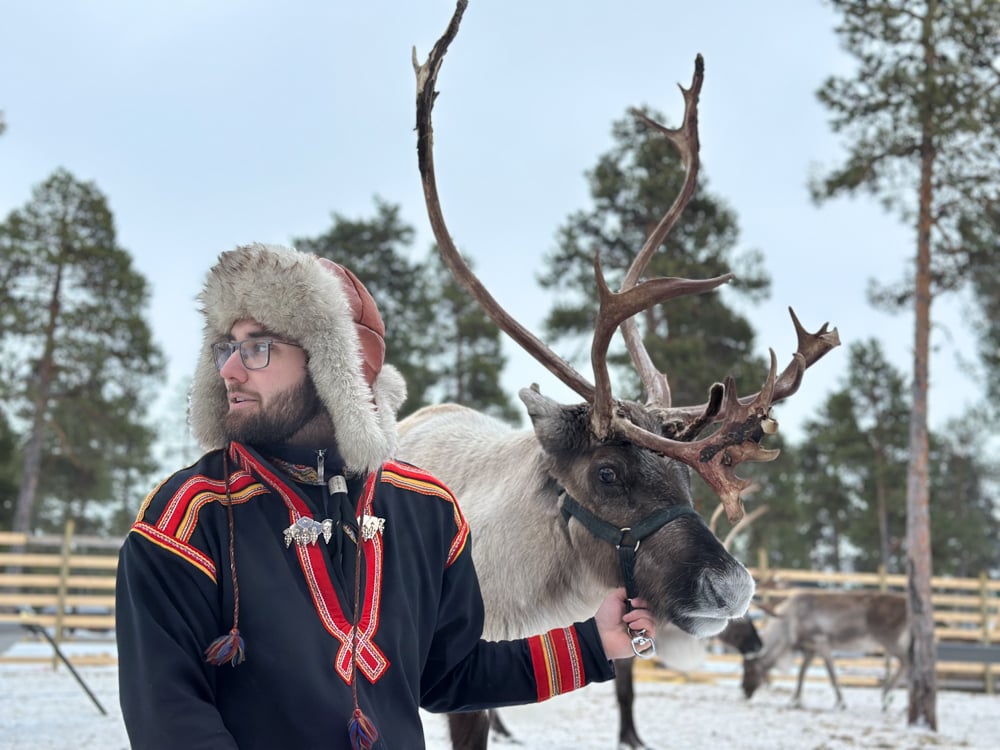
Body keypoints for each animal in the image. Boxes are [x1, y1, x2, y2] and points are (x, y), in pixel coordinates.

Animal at [739, 590, 910, 710]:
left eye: (748, 668)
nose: (744, 690)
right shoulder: (811, 649)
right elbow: (802, 673)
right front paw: (795, 700)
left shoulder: (821, 642)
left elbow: (831, 674)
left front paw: (841, 703)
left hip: (890, 641)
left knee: (907, 663)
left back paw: (887, 699)